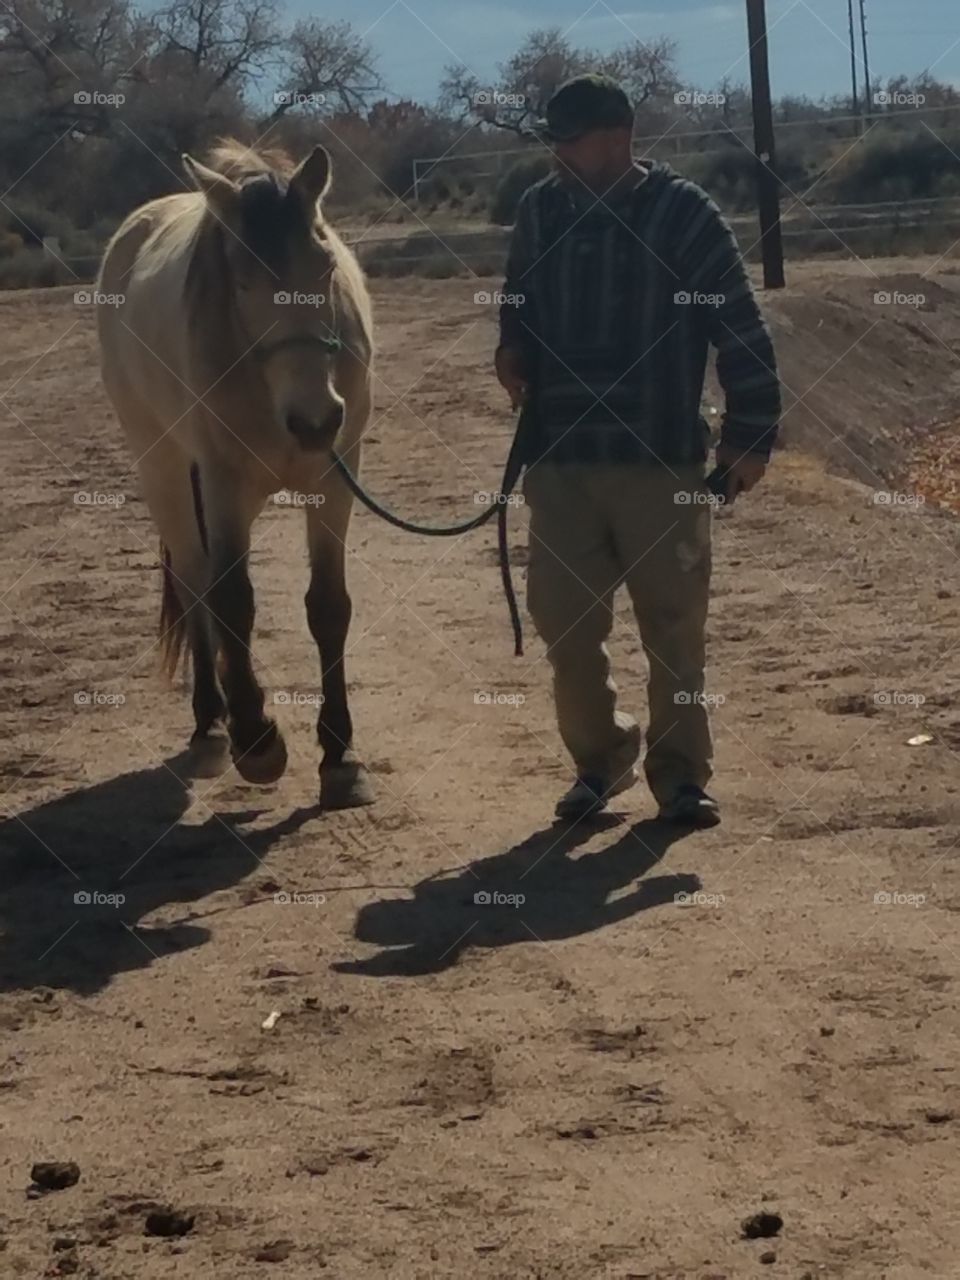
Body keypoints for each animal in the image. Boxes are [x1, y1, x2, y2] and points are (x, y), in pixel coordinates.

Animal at [96, 140, 376, 808]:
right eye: (243, 282)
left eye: (325, 267)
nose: (316, 419)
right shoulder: (223, 482)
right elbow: (232, 597)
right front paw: (258, 740)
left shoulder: (334, 480)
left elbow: (329, 606)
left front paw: (340, 755)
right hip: (165, 468)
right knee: (197, 580)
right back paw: (210, 725)